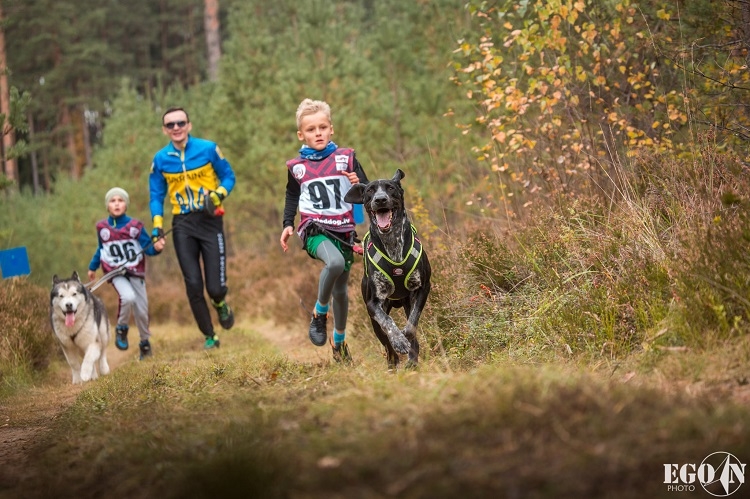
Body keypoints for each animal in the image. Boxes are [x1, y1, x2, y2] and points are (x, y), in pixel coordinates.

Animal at [346, 168, 432, 368]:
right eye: (370, 190)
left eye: (390, 188)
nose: (380, 200)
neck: (392, 243)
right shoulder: (373, 304)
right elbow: (388, 322)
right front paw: (398, 340)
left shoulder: (423, 288)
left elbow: (412, 323)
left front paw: (405, 336)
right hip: (374, 320)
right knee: (386, 344)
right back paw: (393, 360)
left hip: (407, 302)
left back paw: (412, 361)